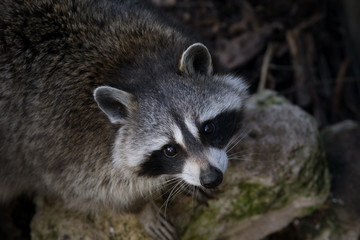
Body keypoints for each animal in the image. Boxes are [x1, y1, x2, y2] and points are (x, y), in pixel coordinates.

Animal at [0, 0, 248, 239]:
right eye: (170, 150)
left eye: (208, 128)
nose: (211, 178)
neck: (137, 70)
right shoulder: (61, 148)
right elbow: (89, 193)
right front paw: (143, 207)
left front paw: (178, 182)